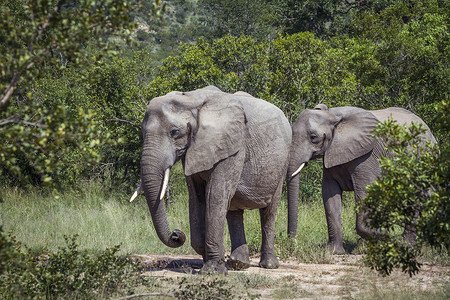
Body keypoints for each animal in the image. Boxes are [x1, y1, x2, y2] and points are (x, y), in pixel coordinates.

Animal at [132, 85, 292, 274]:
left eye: (174, 132)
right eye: (142, 132)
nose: (176, 234)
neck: (191, 99)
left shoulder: (233, 147)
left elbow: (214, 195)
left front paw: (212, 270)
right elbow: (197, 197)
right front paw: (211, 260)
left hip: (282, 162)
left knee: (268, 211)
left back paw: (268, 265)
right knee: (234, 209)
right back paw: (238, 264)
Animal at [288, 104, 436, 254]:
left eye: (313, 137)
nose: (293, 243)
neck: (333, 114)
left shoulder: (367, 156)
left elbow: (365, 191)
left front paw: (385, 237)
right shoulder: (332, 154)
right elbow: (330, 194)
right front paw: (334, 252)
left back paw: (405, 246)